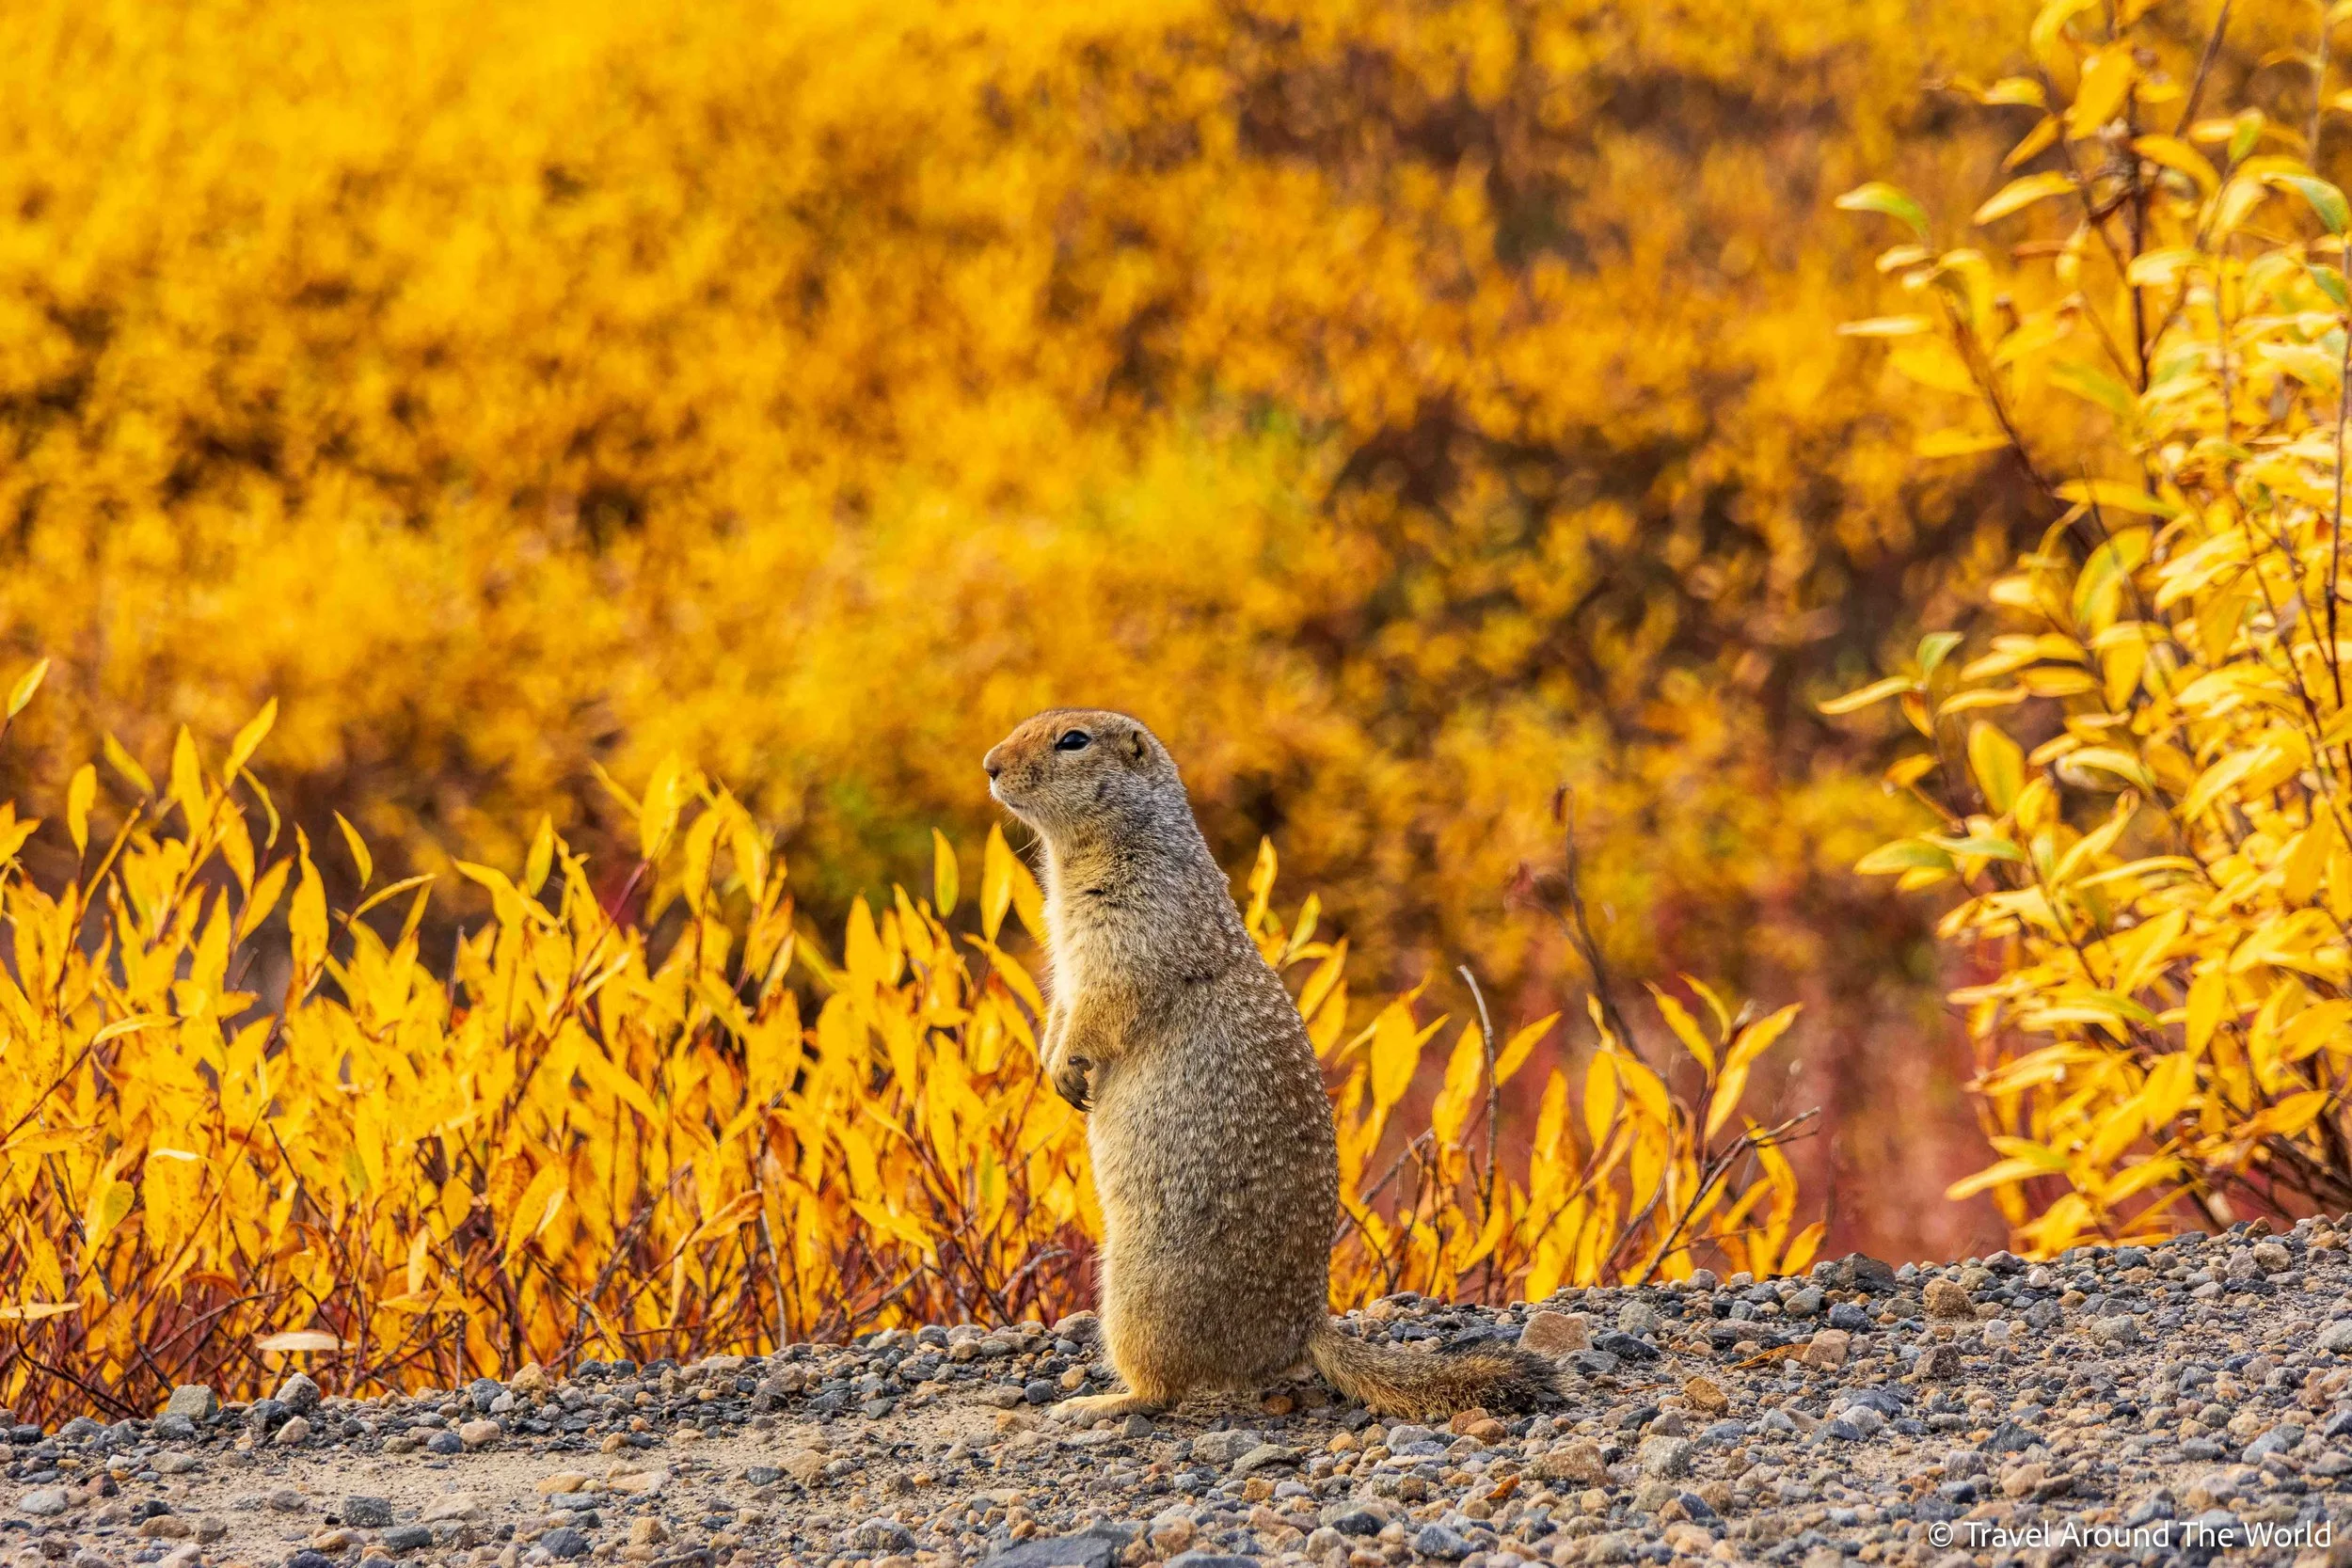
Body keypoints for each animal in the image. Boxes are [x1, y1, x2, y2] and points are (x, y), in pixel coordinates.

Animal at [982, 707, 1561, 1422]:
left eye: (1072, 741)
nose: (990, 765)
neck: (1099, 852)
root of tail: (1305, 1325)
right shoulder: (1066, 957)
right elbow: (1063, 1007)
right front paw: (1051, 1061)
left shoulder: (1133, 931)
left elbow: (1104, 1004)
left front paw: (1066, 1068)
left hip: (1136, 1290)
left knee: (1162, 1389)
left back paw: (1096, 1403)